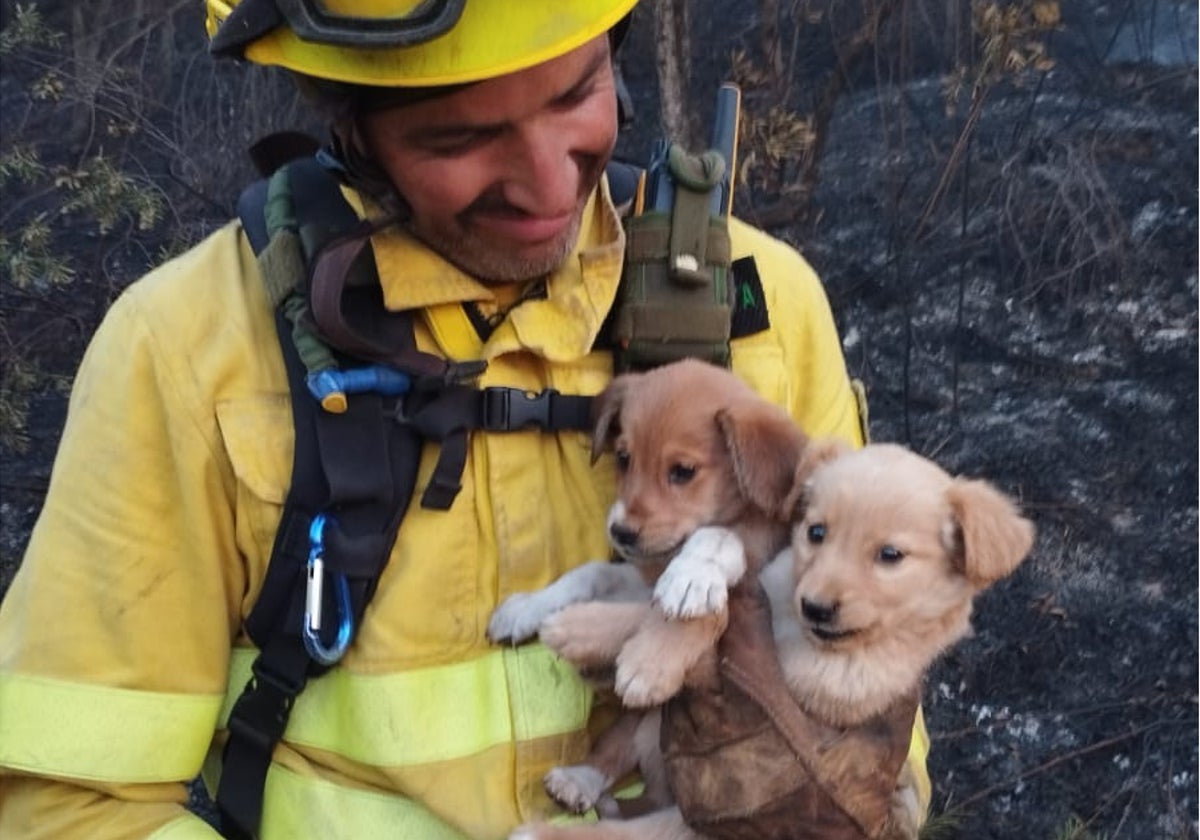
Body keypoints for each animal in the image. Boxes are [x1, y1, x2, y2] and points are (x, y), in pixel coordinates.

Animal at [511, 439, 1036, 840]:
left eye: (891, 555)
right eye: (816, 532)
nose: (816, 607)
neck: (790, 626)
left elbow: (710, 630)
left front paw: (642, 660)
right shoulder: (761, 586)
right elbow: (687, 603)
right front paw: (593, 629)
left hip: (694, 819)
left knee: (625, 829)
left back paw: (544, 829)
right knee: (620, 742)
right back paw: (577, 779)